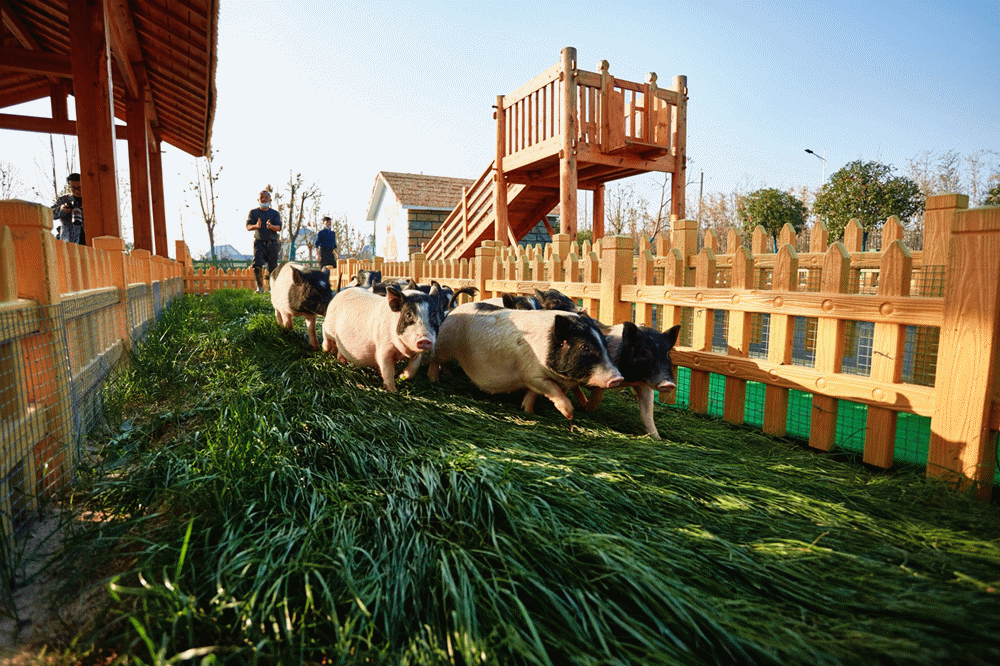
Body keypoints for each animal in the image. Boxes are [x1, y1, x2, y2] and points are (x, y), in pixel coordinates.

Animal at [428, 304, 623, 419]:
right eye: (584, 347)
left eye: (604, 342)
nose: (618, 378)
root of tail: (451, 312)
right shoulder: (533, 374)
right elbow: (552, 389)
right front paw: (569, 414)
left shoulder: (533, 380)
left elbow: (533, 394)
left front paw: (528, 411)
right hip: (445, 343)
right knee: (435, 359)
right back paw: (434, 380)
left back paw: (449, 376)